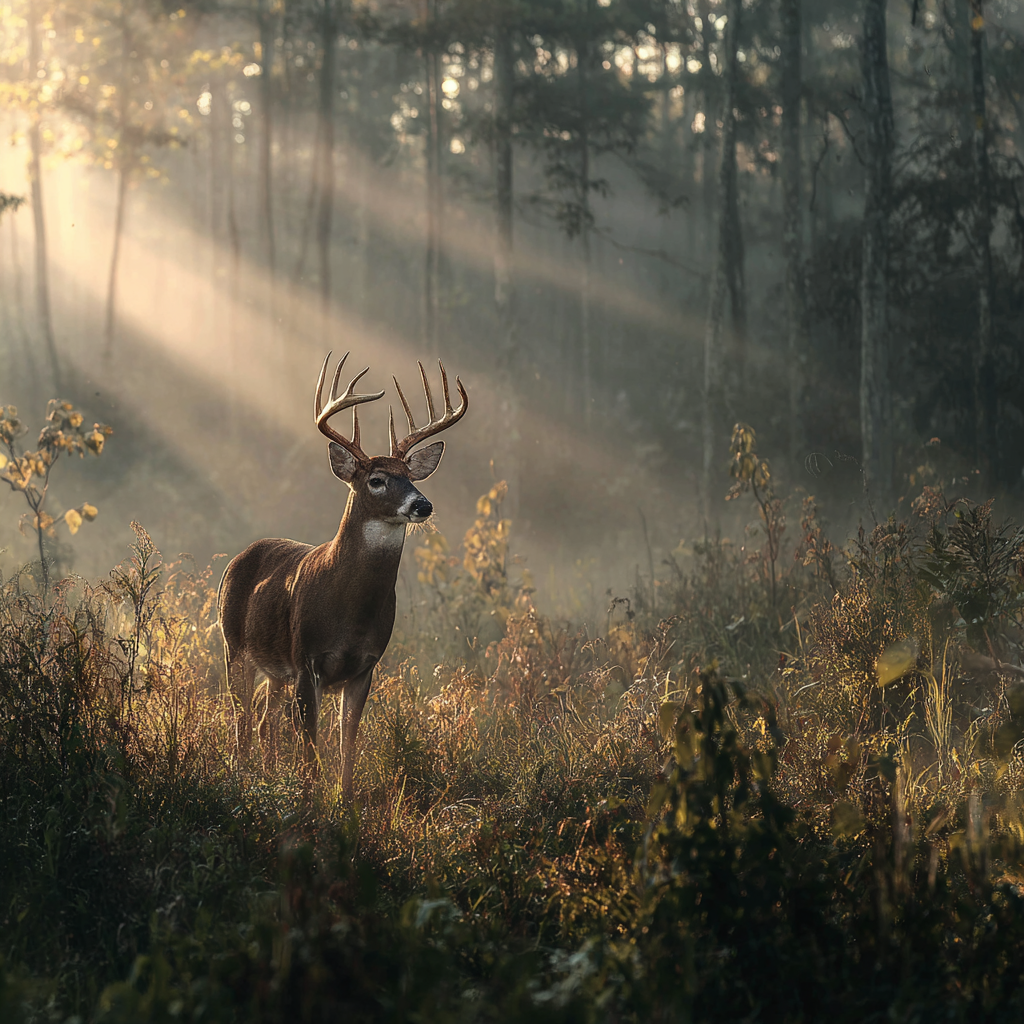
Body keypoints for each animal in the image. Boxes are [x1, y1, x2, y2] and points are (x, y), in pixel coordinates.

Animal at [218, 352, 468, 800]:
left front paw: (345, 799)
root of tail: (240, 556)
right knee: (242, 717)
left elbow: (347, 739)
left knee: (265, 719)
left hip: (275, 669)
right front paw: (309, 796)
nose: (423, 505)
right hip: (233, 644)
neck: (351, 612)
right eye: (377, 479)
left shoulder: (365, 666)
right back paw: (243, 776)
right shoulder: (307, 659)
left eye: (411, 476)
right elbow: (310, 741)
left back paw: (266, 775)